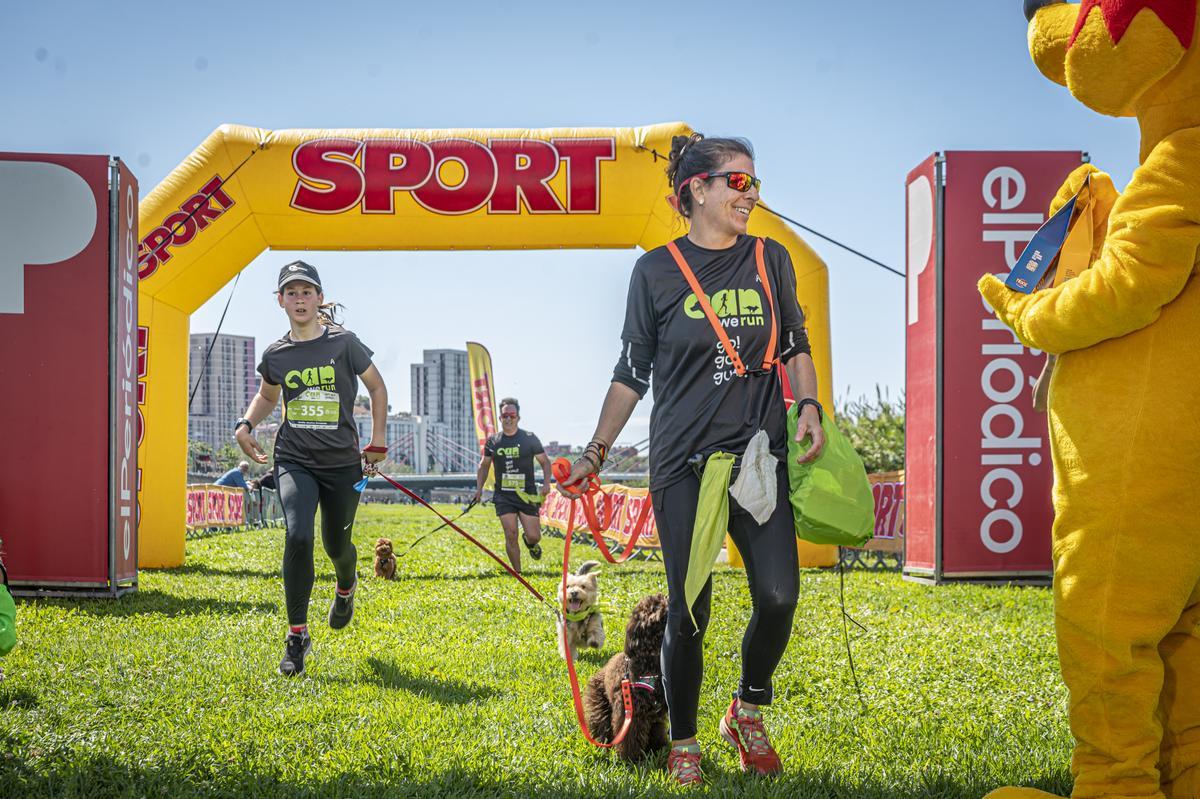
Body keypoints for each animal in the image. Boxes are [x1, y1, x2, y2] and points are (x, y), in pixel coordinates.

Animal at [583, 590, 672, 758]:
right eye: (655, 606)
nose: (667, 597)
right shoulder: (630, 714)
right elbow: (630, 738)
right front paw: (632, 758)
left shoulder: (656, 714)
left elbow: (657, 731)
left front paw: (658, 748)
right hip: (600, 701)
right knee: (600, 724)